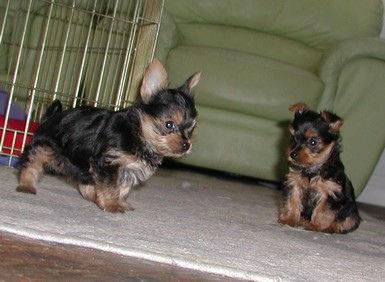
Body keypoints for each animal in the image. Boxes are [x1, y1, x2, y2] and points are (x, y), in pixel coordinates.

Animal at [15, 60, 201, 214]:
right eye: (169, 125)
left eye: (192, 128)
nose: (186, 145)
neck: (138, 134)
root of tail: (51, 117)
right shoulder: (108, 163)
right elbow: (111, 185)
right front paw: (113, 205)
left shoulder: (127, 169)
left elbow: (122, 187)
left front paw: (119, 201)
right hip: (43, 146)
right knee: (32, 165)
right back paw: (26, 185)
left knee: (85, 182)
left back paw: (93, 196)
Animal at [278, 102, 358, 232]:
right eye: (293, 138)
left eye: (313, 142)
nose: (292, 154)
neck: (312, 170)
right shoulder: (294, 183)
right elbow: (292, 200)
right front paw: (289, 219)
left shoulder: (330, 191)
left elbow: (323, 211)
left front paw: (316, 226)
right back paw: (302, 220)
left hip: (351, 212)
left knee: (347, 222)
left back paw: (331, 228)